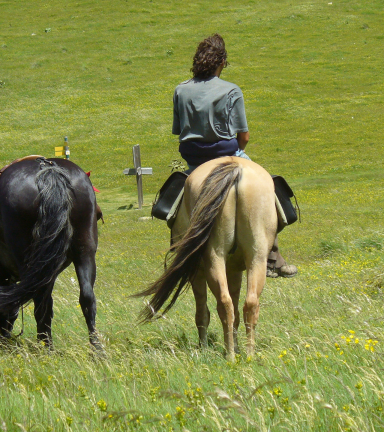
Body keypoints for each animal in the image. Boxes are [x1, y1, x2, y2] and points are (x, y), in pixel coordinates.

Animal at [0, 157, 102, 350]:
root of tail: (47, 167)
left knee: (40, 302)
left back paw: (46, 348)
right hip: (84, 253)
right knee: (87, 298)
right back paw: (97, 349)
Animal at [136, 157, 278, 360]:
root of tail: (235, 168)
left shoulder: (198, 273)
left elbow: (202, 312)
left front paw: (203, 348)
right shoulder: (234, 271)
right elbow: (235, 312)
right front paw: (235, 346)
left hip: (214, 259)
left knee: (224, 304)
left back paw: (230, 356)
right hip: (255, 258)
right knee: (248, 304)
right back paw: (245, 354)